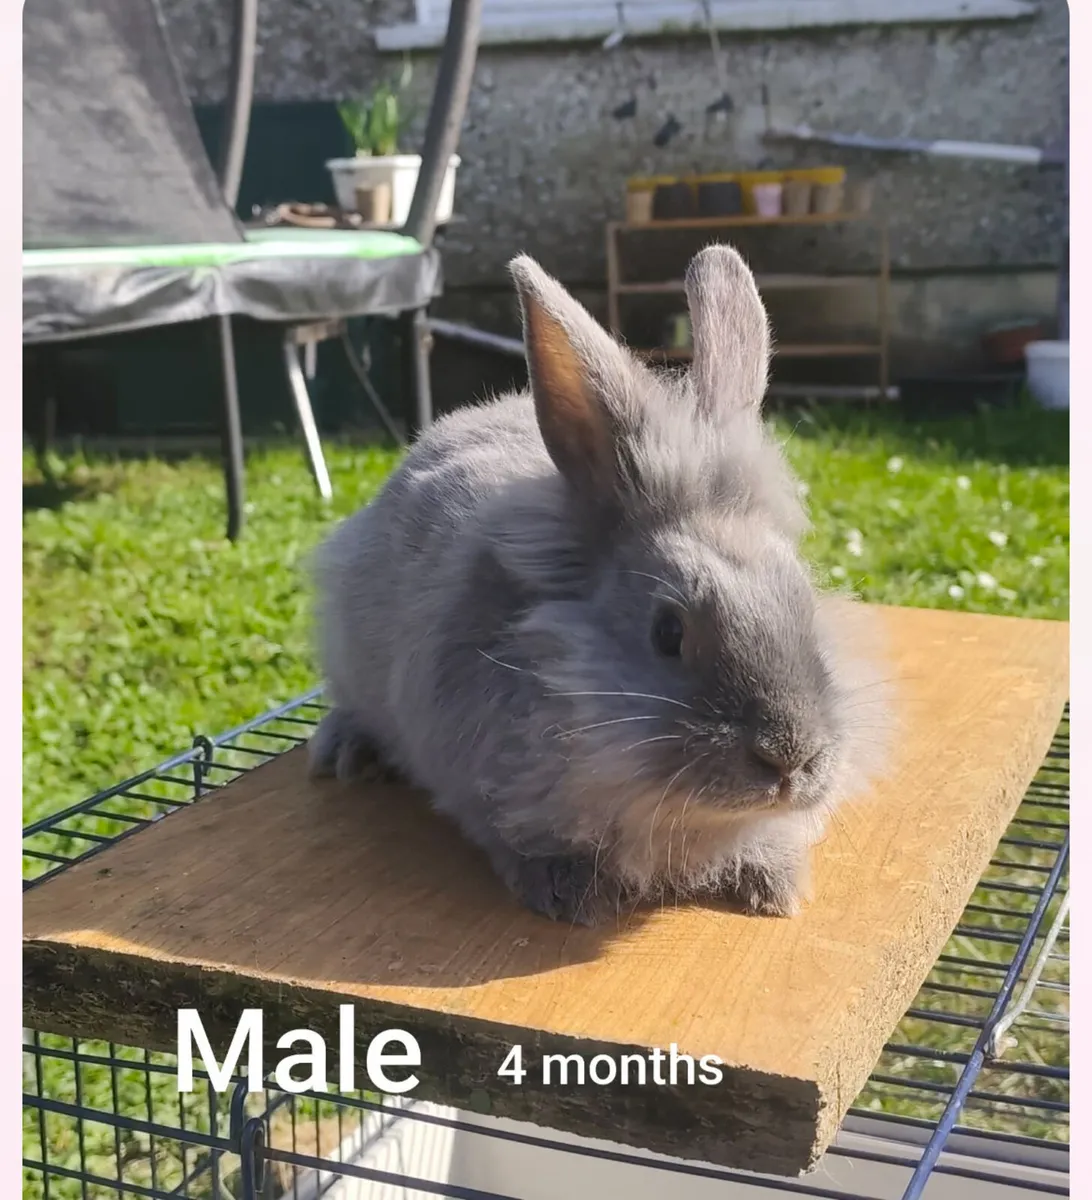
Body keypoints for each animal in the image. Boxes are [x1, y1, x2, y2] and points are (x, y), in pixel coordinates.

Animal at [309, 244, 893, 926]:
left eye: (804, 604)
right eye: (667, 632)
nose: (789, 758)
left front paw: (776, 887)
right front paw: (572, 896)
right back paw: (346, 752)